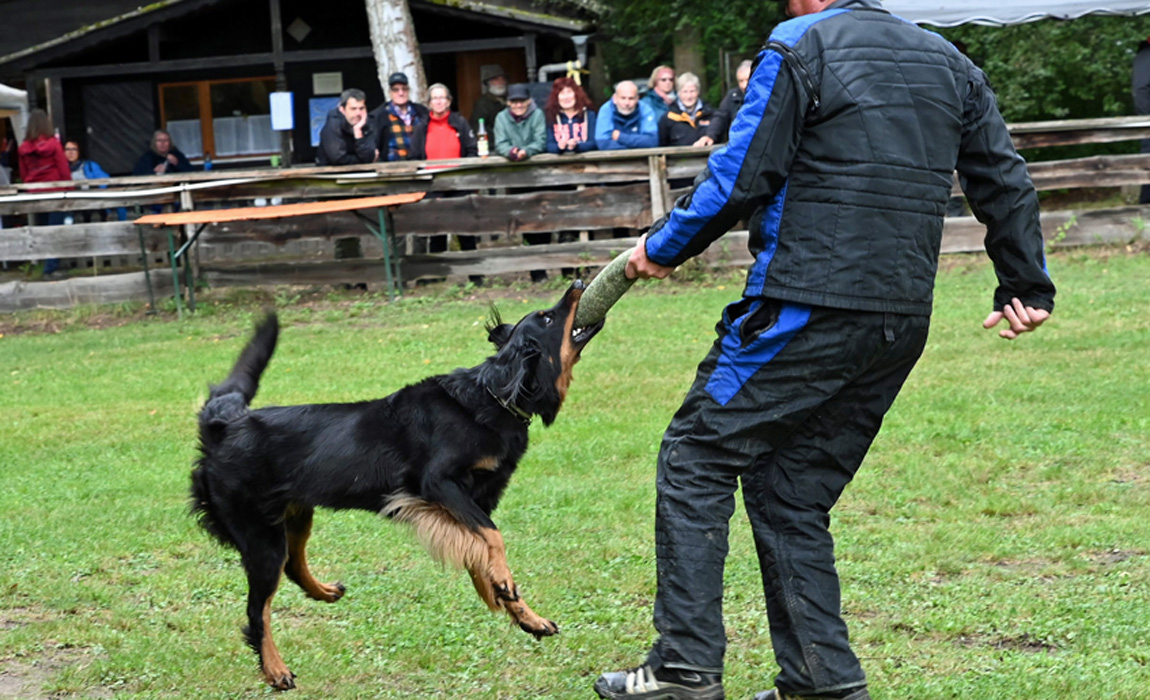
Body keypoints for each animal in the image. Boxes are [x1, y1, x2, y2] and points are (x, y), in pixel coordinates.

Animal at [190, 281, 602, 689]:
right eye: (546, 318)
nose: (578, 283)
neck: (493, 396)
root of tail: (224, 424)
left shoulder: (474, 499)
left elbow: (480, 551)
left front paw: (522, 613)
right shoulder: (438, 483)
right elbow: (493, 538)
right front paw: (503, 586)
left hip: (295, 515)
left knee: (292, 565)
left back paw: (323, 592)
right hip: (261, 536)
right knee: (257, 609)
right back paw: (275, 669)